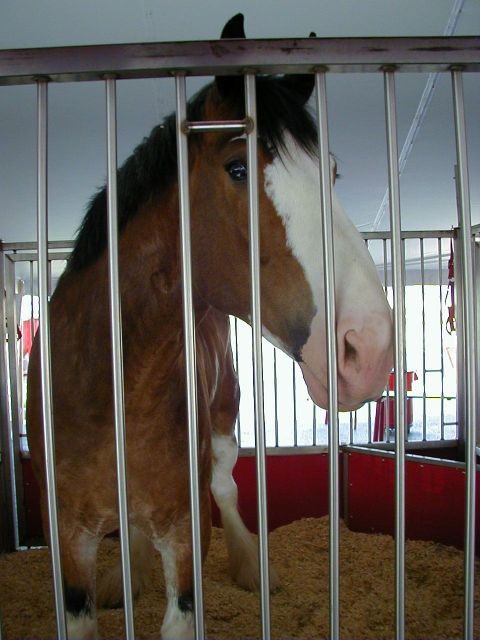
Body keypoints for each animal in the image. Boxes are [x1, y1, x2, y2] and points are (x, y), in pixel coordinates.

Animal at [27, 13, 393, 640]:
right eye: (237, 168)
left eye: (333, 173)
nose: (368, 347)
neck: (110, 386)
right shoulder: (67, 541)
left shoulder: (184, 532)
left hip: (224, 418)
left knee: (227, 484)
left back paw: (250, 566)